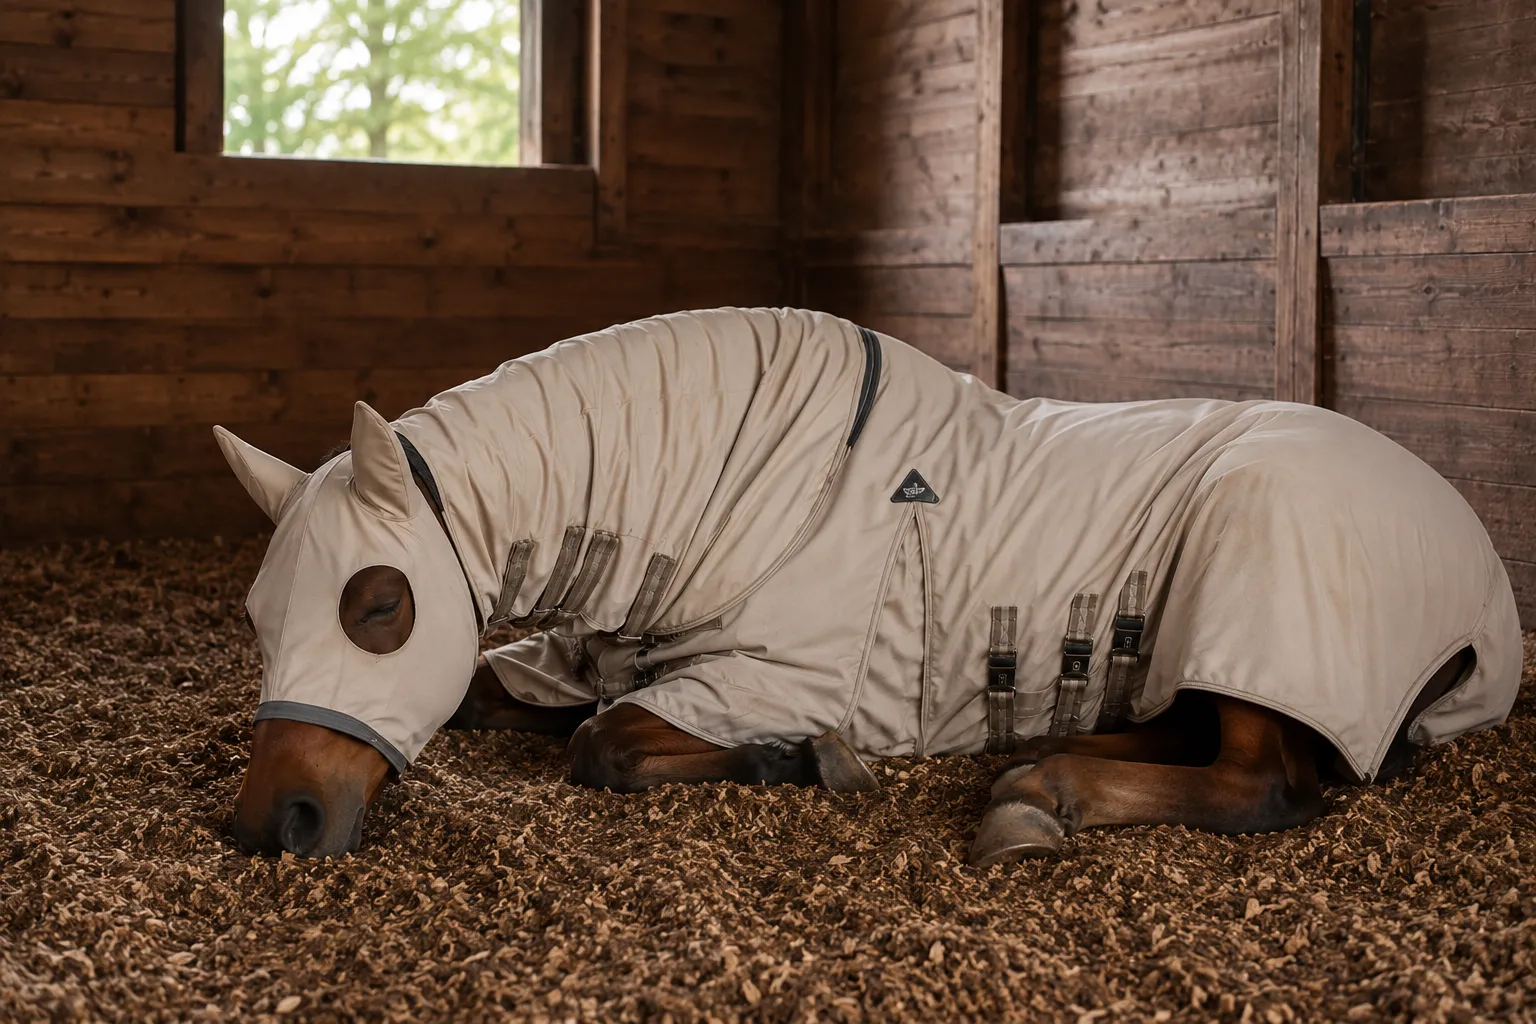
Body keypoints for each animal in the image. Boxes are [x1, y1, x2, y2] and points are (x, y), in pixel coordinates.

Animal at [224, 308, 1521, 864]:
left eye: (377, 606)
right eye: (258, 617)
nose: (271, 824)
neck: (724, 482)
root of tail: (1484, 578)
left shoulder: (758, 675)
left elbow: (603, 744)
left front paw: (801, 760)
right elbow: (512, 695)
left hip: (1261, 591)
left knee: (1264, 784)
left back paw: (1037, 798)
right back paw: (1035, 757)